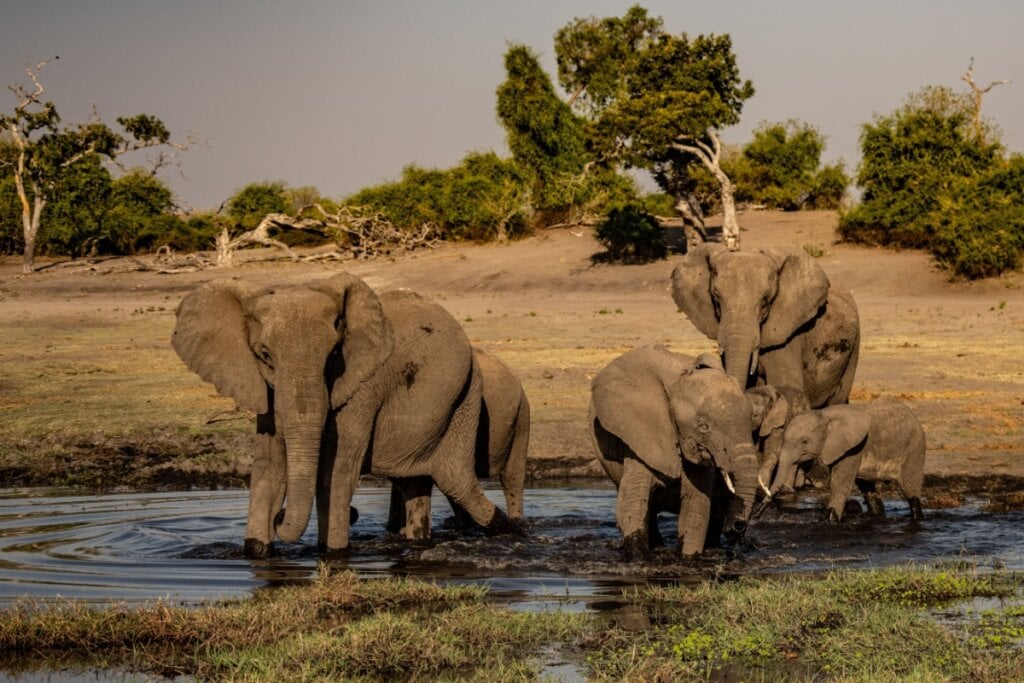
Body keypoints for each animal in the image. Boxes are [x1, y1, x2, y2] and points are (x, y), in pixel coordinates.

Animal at [173, 274, 520, 557]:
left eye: (333, 355)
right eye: (265, 356)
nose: (279, 518)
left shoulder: (362, 387)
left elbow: (335, 469)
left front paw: (332, 552)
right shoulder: (264, 389)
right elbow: (270, 465)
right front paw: (257, 551)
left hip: (466, 394)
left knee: (454, 478)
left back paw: (510, 531)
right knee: (417, 483)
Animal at [589, 348, 770, 561]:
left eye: (751, 421)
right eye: (703, 427)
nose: (737, 527)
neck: (676, 386)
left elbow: (695, 510)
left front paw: (688, 559)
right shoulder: (640, 439)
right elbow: (632, 506)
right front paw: (640, 559)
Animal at [671, 245, 864, 485]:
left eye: (765, 301)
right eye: (716, 298)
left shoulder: (788, 334)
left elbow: (786, 387)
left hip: (854, 348)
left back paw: (816, 481)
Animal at [770, 397, 929, 520]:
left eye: (805, 442)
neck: (824, 414)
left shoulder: (853, 447)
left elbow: (841, 482)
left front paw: (830, 520)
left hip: (915, 446)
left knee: (910, 487)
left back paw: (917, 518)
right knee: (866, 485)